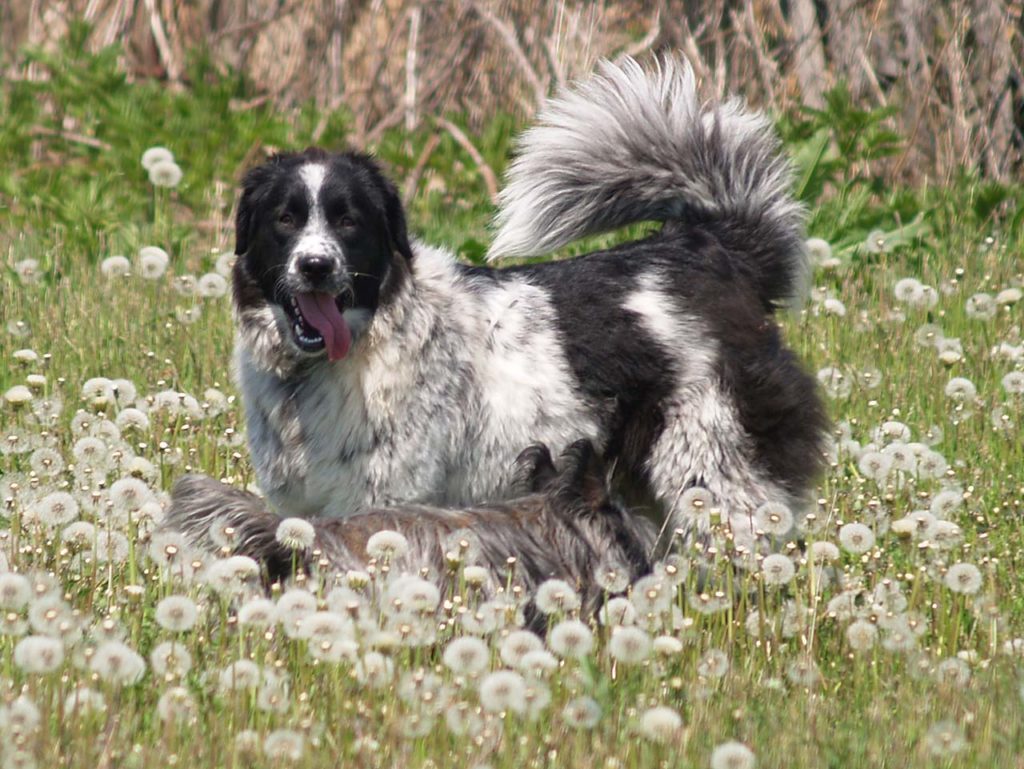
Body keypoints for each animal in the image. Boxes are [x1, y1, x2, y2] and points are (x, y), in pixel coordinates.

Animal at [228, 55, 827, 548]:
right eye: (285, 218)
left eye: (348, 221)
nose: (316, 266)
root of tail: (712, 245)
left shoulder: (384, 499)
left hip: (715, 476)